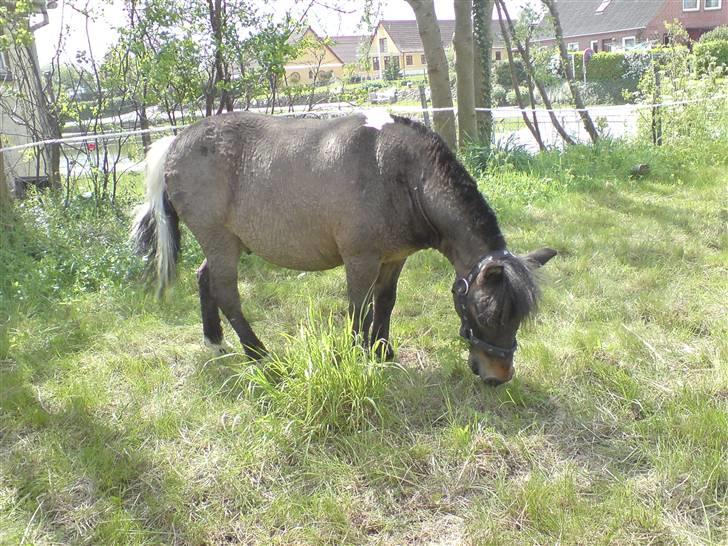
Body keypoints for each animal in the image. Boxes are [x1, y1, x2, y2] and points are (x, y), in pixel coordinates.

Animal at [131, 111, 556, 386]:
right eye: (490, 313)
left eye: (518, 316)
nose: (499, 377)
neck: (401, 174)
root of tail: (175, 141)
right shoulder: (360, 260)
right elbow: (358, 308)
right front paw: (356, 356)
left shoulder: (394, 259)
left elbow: (385, 303)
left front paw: (383, 352)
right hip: (220, 243)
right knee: (226, 293)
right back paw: (258, 355)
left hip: (225, 244)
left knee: (205, 280)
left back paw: (216, 343)